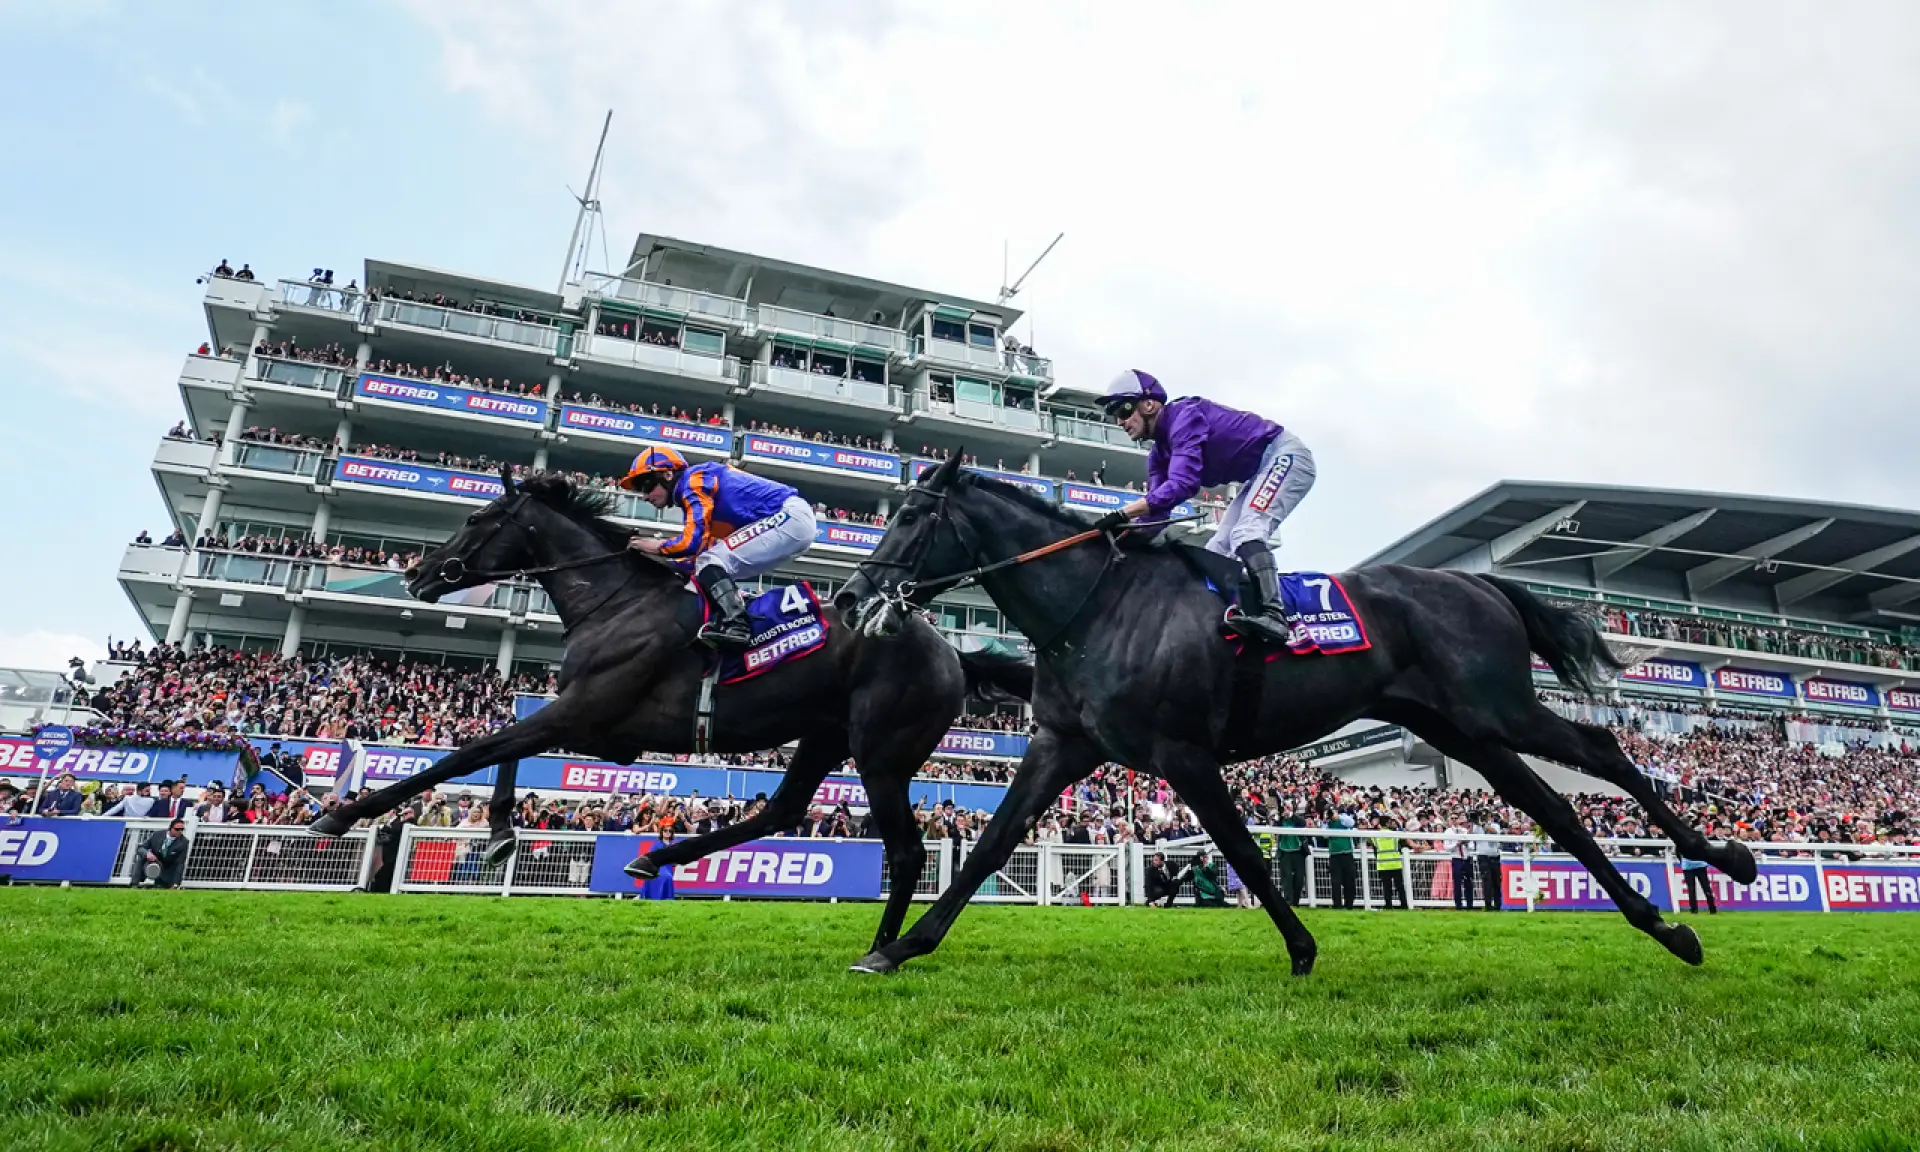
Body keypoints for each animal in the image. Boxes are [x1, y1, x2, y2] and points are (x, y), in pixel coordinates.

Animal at [314, 468, 1036, 952]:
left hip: (880, 752)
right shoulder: (600, 730)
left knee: (907, 852)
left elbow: (472, 751)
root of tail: (955, 653)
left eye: (475, 519)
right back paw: (655, 859)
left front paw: (343, 813)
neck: (615, 602)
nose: (418, 575)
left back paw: (884, 948)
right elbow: (505, 751)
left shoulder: (582, 713)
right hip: (825, 736)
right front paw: (498, 834)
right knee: (782, 811)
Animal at [840, 455, 1758, 975]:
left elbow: (1245, 852)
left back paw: (1728, 858)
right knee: (1555, 807)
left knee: (1601, 750)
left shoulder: (1183, 751)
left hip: (1498, 708)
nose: (849, 598)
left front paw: (1304, 949)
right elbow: (991, 844)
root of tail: (1478, 580)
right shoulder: (1062, 747)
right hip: (1463, 730)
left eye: (913, 516)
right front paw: (901, 945)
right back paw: (1667, 925)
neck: (1095, 607)